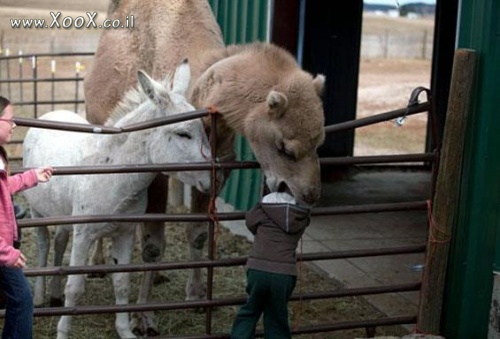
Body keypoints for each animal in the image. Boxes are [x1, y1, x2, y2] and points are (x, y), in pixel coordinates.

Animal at [83, 0, 324, 338]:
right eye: (285, 148)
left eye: (320, 142)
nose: (310, 193)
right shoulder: (156, 172)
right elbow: (154, 245)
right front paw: (144, 318)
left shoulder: (217, 167)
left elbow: (197, 233)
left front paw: (197, 297)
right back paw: (98, 264)